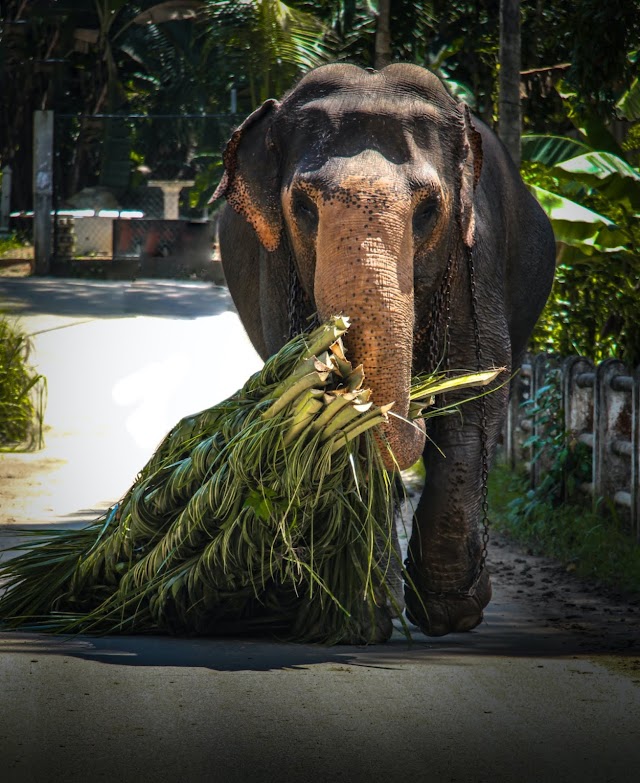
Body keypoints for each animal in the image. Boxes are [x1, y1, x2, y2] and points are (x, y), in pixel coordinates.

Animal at [214, 64, 556, 640]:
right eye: (302, 207)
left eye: (429, 209)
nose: (415, 403)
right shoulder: (275, 267)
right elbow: (323, 412)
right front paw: (359, 618)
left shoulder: (475, 255)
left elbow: (475, 393)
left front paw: (451, 615)